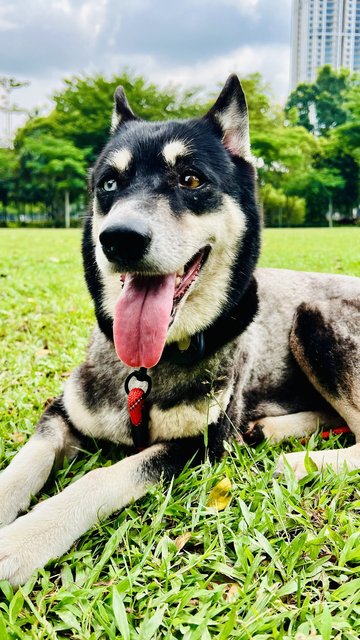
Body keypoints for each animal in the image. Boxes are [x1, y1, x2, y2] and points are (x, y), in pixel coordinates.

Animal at [0, 74, 360, 584]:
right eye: (109, 183)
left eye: (190, 179)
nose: (119, 239)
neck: (149, 368)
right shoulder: (62, 412)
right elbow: (26, 460)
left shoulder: (197, 444)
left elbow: (103, 475)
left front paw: (22, 539)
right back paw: (272, 430)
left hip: (314, 317)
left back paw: (300, 460)